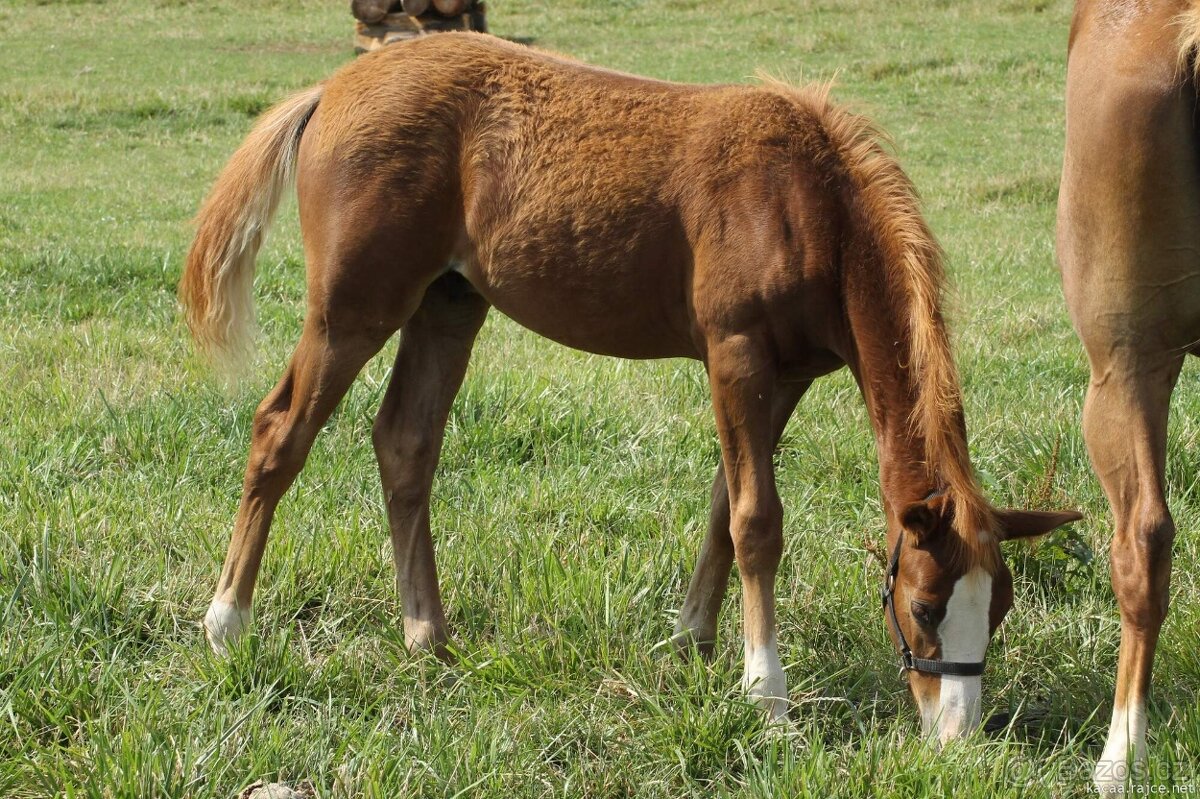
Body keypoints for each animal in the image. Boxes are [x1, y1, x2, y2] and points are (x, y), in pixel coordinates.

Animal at [181, 32, 1079, 743]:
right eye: (925, 606)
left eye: (999, 606)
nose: (957, 734)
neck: (805, 202)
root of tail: (332, 89)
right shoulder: (736, 354)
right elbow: (758, 521)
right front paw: (767, 694)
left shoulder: (784, 376)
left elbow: (724, 507)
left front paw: (693, 644)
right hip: (354, 308)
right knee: (280, 431)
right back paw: (228, 625)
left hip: (449, 302)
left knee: (404, 442)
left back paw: (427, 635)